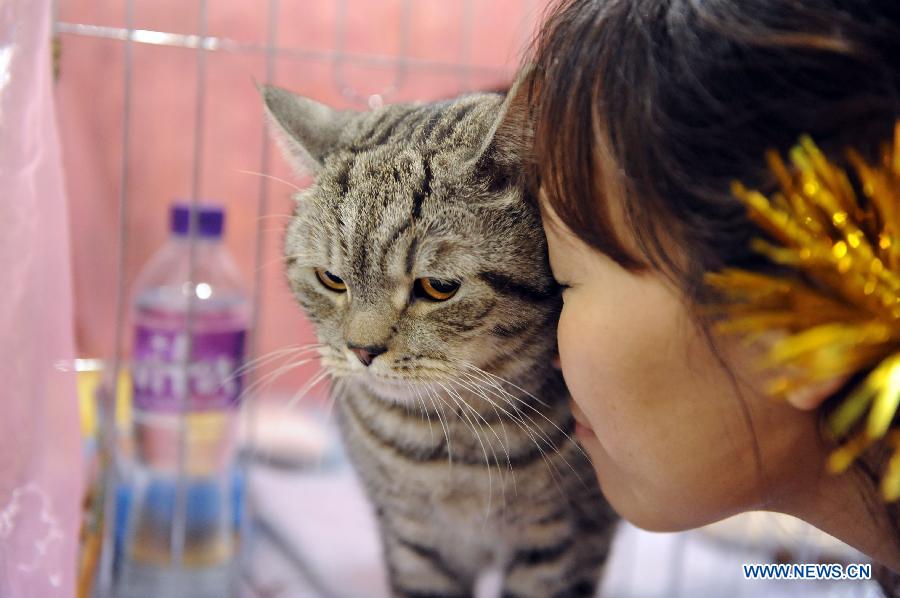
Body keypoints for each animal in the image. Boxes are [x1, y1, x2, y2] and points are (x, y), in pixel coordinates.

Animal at [262, 85, 620, 598]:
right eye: (331, 279)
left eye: (438, 287)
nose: (362, 351)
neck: (451, 439)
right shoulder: (414, 539)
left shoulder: (567, 540)